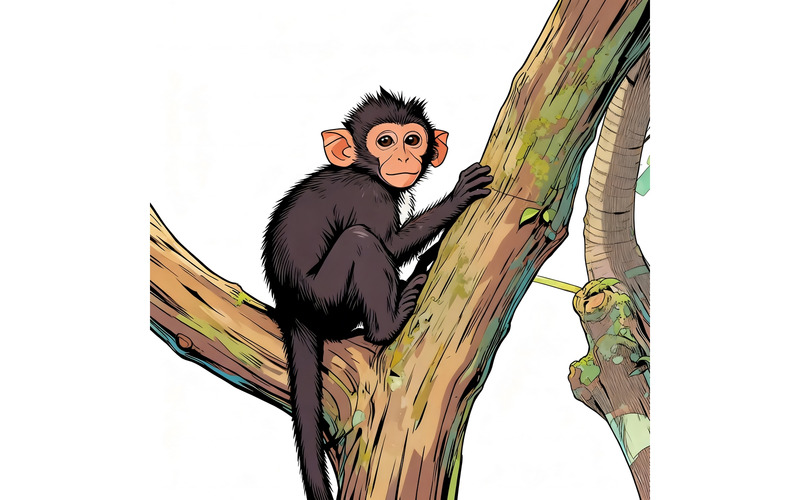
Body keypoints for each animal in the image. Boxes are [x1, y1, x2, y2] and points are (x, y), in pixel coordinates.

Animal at [261, 88, 492, 500]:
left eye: (412, 139)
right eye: (385, 141)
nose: (402, 157)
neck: (364, 171)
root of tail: (292, 309)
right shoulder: (368, 195)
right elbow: (388, 244)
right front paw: (457, 197)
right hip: (327, 297)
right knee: (361, 241)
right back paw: (388, 323)